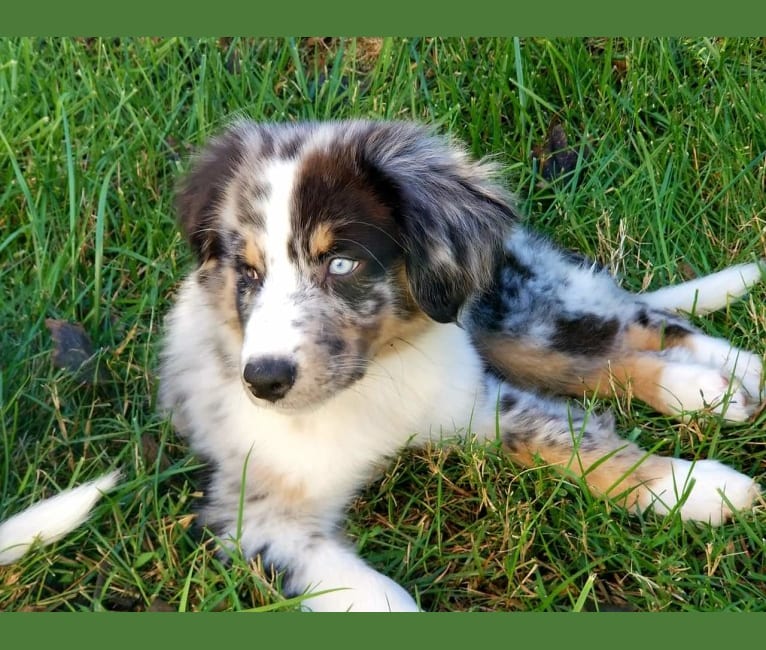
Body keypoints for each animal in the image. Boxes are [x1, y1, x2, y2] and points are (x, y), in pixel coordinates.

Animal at [1, 119, 766, 612]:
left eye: (341, 264)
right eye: (246, 273)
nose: (265, 381)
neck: (366, 389)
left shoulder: (474, 405)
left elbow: (578, 443)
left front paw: (694, 489)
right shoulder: (256, 514)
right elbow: (378, 595)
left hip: (497, 311)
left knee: (623, 326)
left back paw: (722, 375)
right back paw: (718, 386)